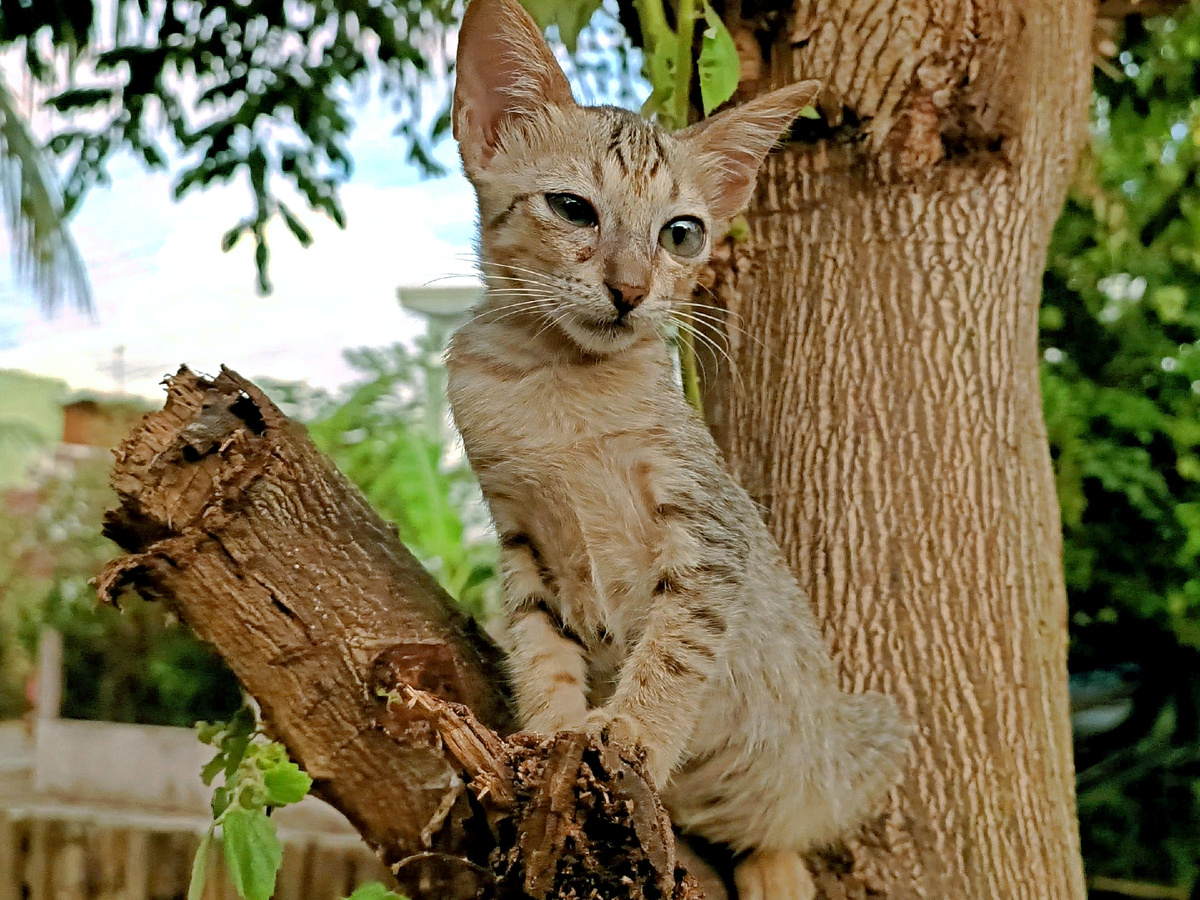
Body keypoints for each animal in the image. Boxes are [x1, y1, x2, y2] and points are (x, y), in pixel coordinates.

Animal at [446, 3, 902, 897]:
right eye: (573, 208)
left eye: (682, 232)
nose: (630, 290)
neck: (556, 382)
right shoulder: (518, 535)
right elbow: (540, 648)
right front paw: (552, 731)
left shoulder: (709, 534)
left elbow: (671, 654)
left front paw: (632, 734)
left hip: (854, 740)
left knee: (787, 824)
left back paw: (775, 866)